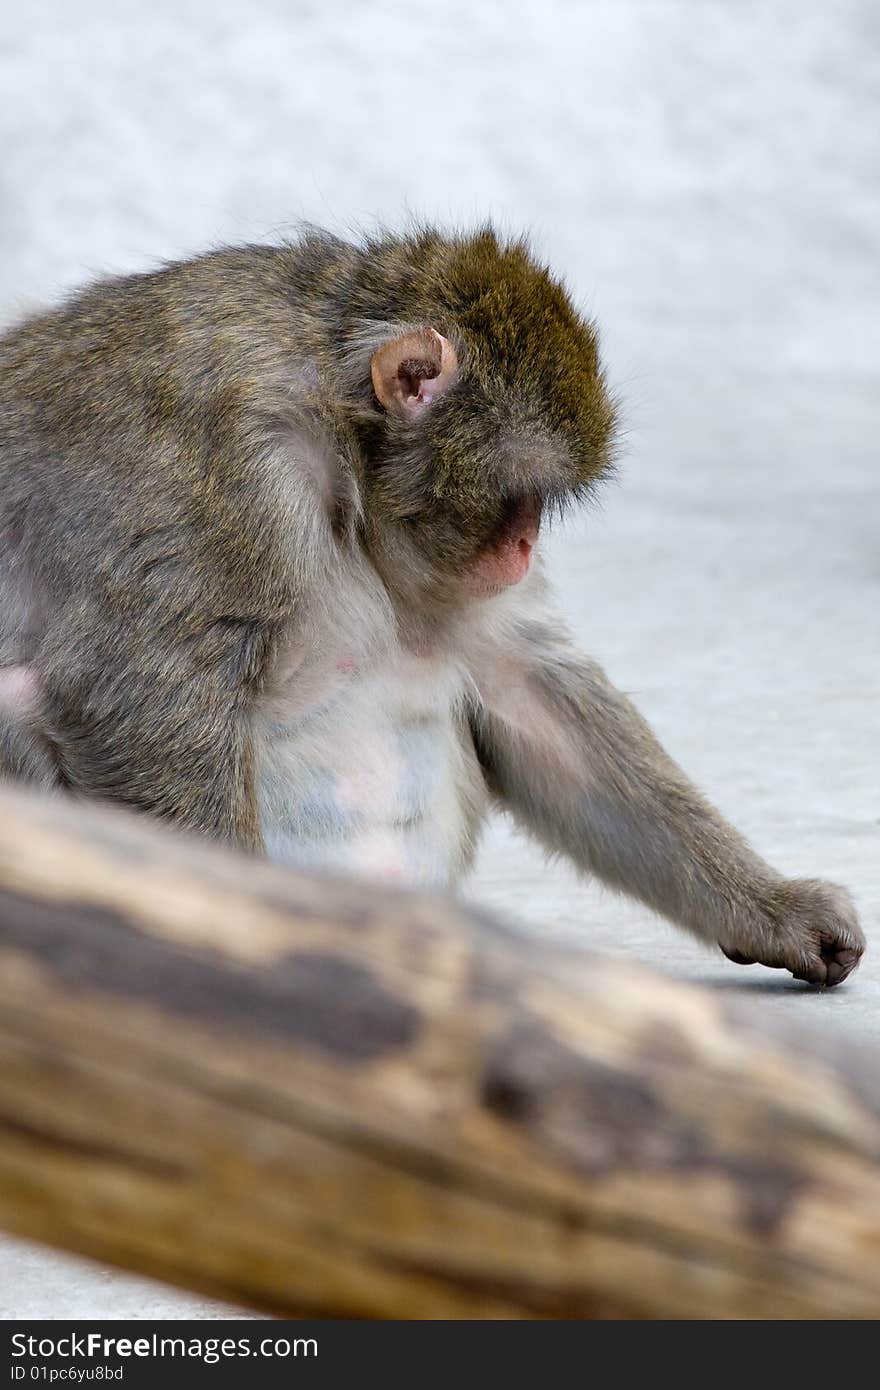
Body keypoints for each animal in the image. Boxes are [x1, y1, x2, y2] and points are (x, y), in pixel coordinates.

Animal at [0, 230, 861, 989]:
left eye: (540, 505)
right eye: (520, 496)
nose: (525, 546)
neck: (343, 447)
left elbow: (531, 695)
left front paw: (773, 909)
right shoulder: (224, 470)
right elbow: (134, 698)